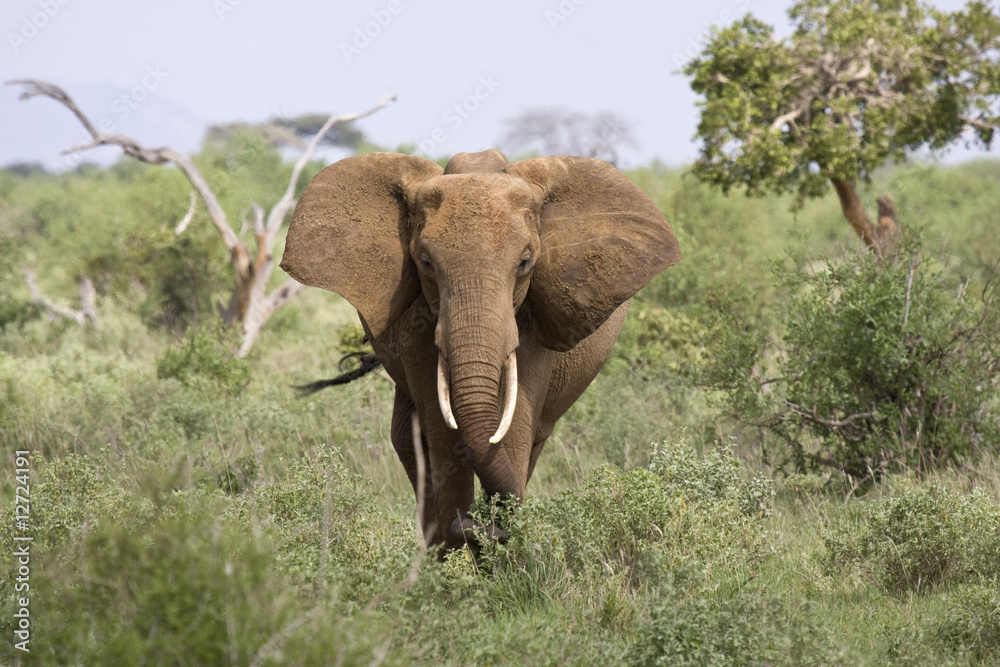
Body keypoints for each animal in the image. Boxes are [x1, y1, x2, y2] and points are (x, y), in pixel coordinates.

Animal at [280, 149, 680, 551]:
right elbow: (442, 430)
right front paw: (461, 549)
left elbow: (514, 425)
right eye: (425, 262)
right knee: (409, 442)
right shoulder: (417, 323)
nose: (478, 523)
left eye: (525, 262)